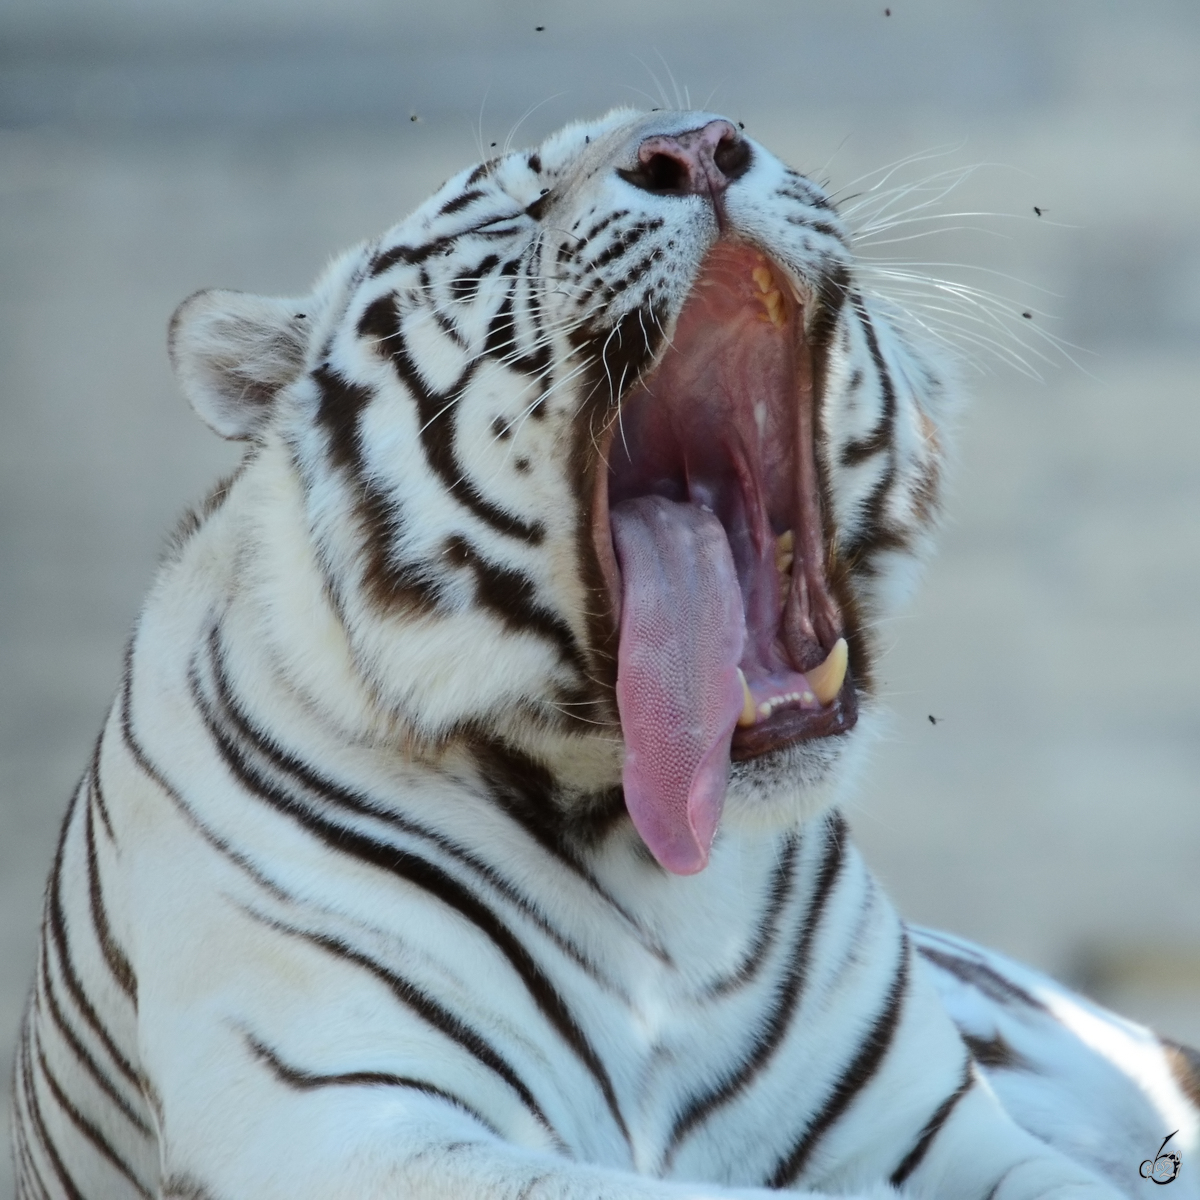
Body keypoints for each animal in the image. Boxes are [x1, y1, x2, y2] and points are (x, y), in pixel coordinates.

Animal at [11, 110, 1200, 1200]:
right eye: (512, 210)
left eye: (721, 131)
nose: (703, 147)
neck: (657, 875)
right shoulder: (349, 1121)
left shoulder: (930, 1127)